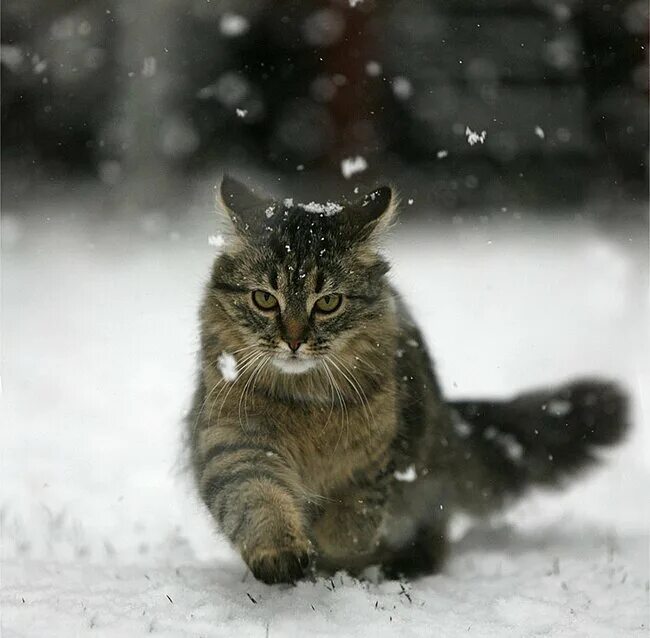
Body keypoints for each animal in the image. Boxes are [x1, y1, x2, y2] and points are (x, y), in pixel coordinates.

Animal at [184, 175, 628, 584]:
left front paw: (331, 542)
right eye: (264, 299)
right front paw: (284, 554)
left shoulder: (383, 456)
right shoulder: (235, 444)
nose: (294, 341)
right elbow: (258, 500)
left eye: (328, 303)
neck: (305, 405)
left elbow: (354, 518)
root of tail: (452, 424)